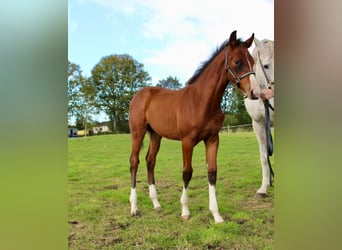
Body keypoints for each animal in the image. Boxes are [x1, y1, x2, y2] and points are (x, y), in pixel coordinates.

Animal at [129, 30, 256, 224]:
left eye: (253, 61)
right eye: (237, 62)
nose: (255, 92)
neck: (202, 101)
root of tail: (138, 95)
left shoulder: (213, 139)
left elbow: (212, 172)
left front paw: (216, 215)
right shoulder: (187, 141)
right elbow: (187, 172)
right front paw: (185, 211)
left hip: (155, 135)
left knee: (150, 161)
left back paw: (156, 204)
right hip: (138, 133)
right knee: (134, 162)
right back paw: (134, 208)